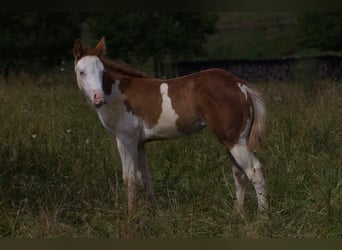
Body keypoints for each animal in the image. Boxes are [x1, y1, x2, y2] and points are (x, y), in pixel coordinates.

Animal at [73, 36, 268, 215]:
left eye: (102, 72)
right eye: (82, 72)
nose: (98, 97)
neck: (117, 94)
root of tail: (240, 85)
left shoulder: (125, 140)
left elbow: (129, 178)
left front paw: (130, 215)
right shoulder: (139, 143)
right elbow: (145, 177)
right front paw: (152, 211)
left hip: (235, 141)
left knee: (254, 171)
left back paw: (263, 216)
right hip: (231, 140)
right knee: (239, 174)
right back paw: (238, 213)